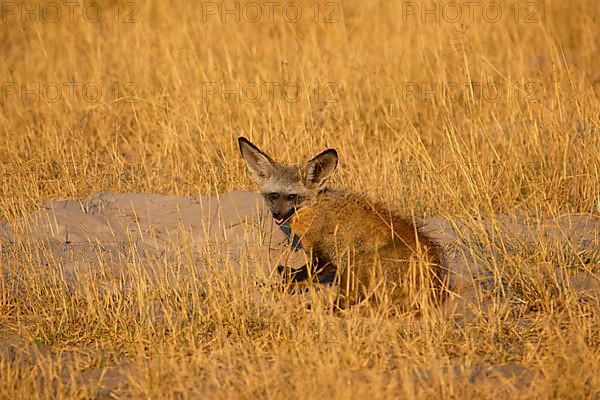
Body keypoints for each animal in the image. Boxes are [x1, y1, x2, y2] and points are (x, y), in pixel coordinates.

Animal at [238, 138, 446, 312]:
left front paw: (275, 287)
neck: (314, 211)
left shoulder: (327, 259)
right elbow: (299, 276)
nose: (277, 214)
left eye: (292, 197)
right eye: (273, 196)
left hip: (355, 265)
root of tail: (435, 286)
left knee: (341, 306)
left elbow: (300, 278)